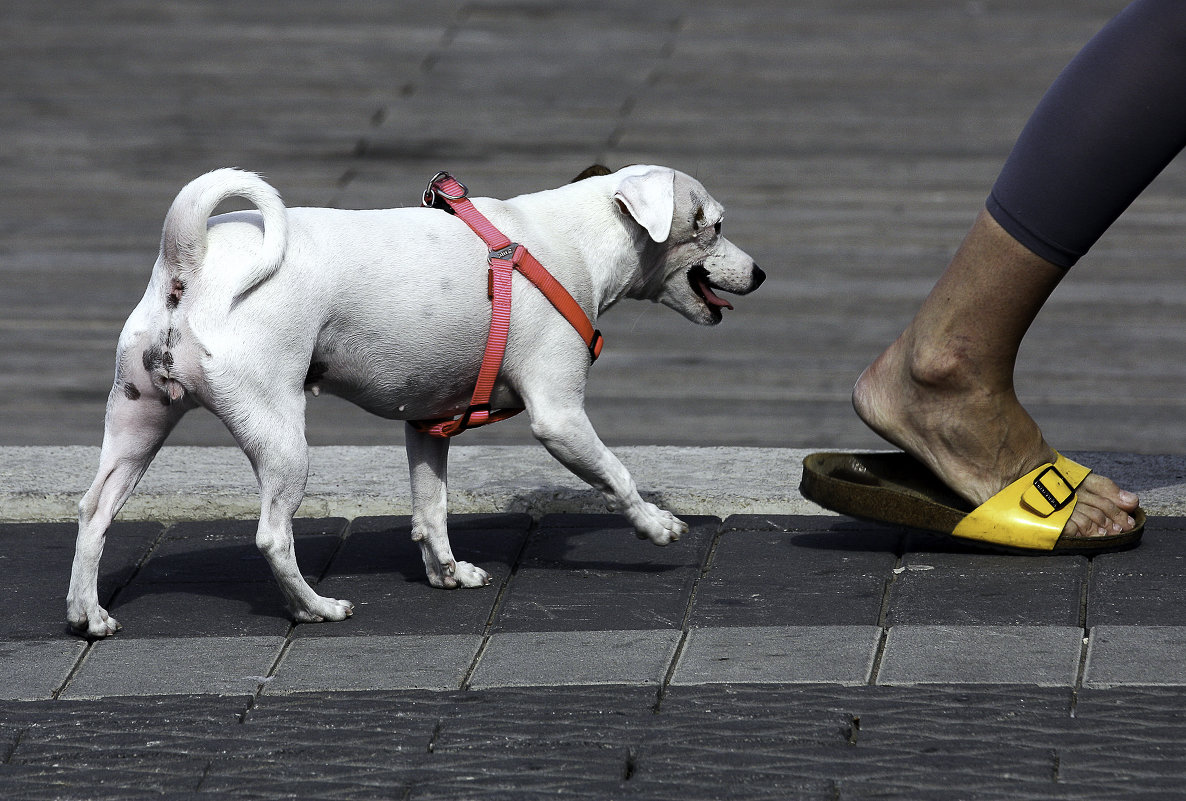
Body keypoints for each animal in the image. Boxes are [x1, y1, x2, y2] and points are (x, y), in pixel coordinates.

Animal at [69, 166, 763, 636]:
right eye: (713, 225)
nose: (759, 274)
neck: (576, 242)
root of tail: (187, 261)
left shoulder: (428, 423)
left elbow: (431, 510)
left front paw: (448, 573)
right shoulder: (560, 417)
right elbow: (617, 474)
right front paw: (656, 524)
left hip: (136, 426)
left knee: (94, 512)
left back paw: (88, 613)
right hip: (280, 437)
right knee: (271, 535)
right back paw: (314, 608)